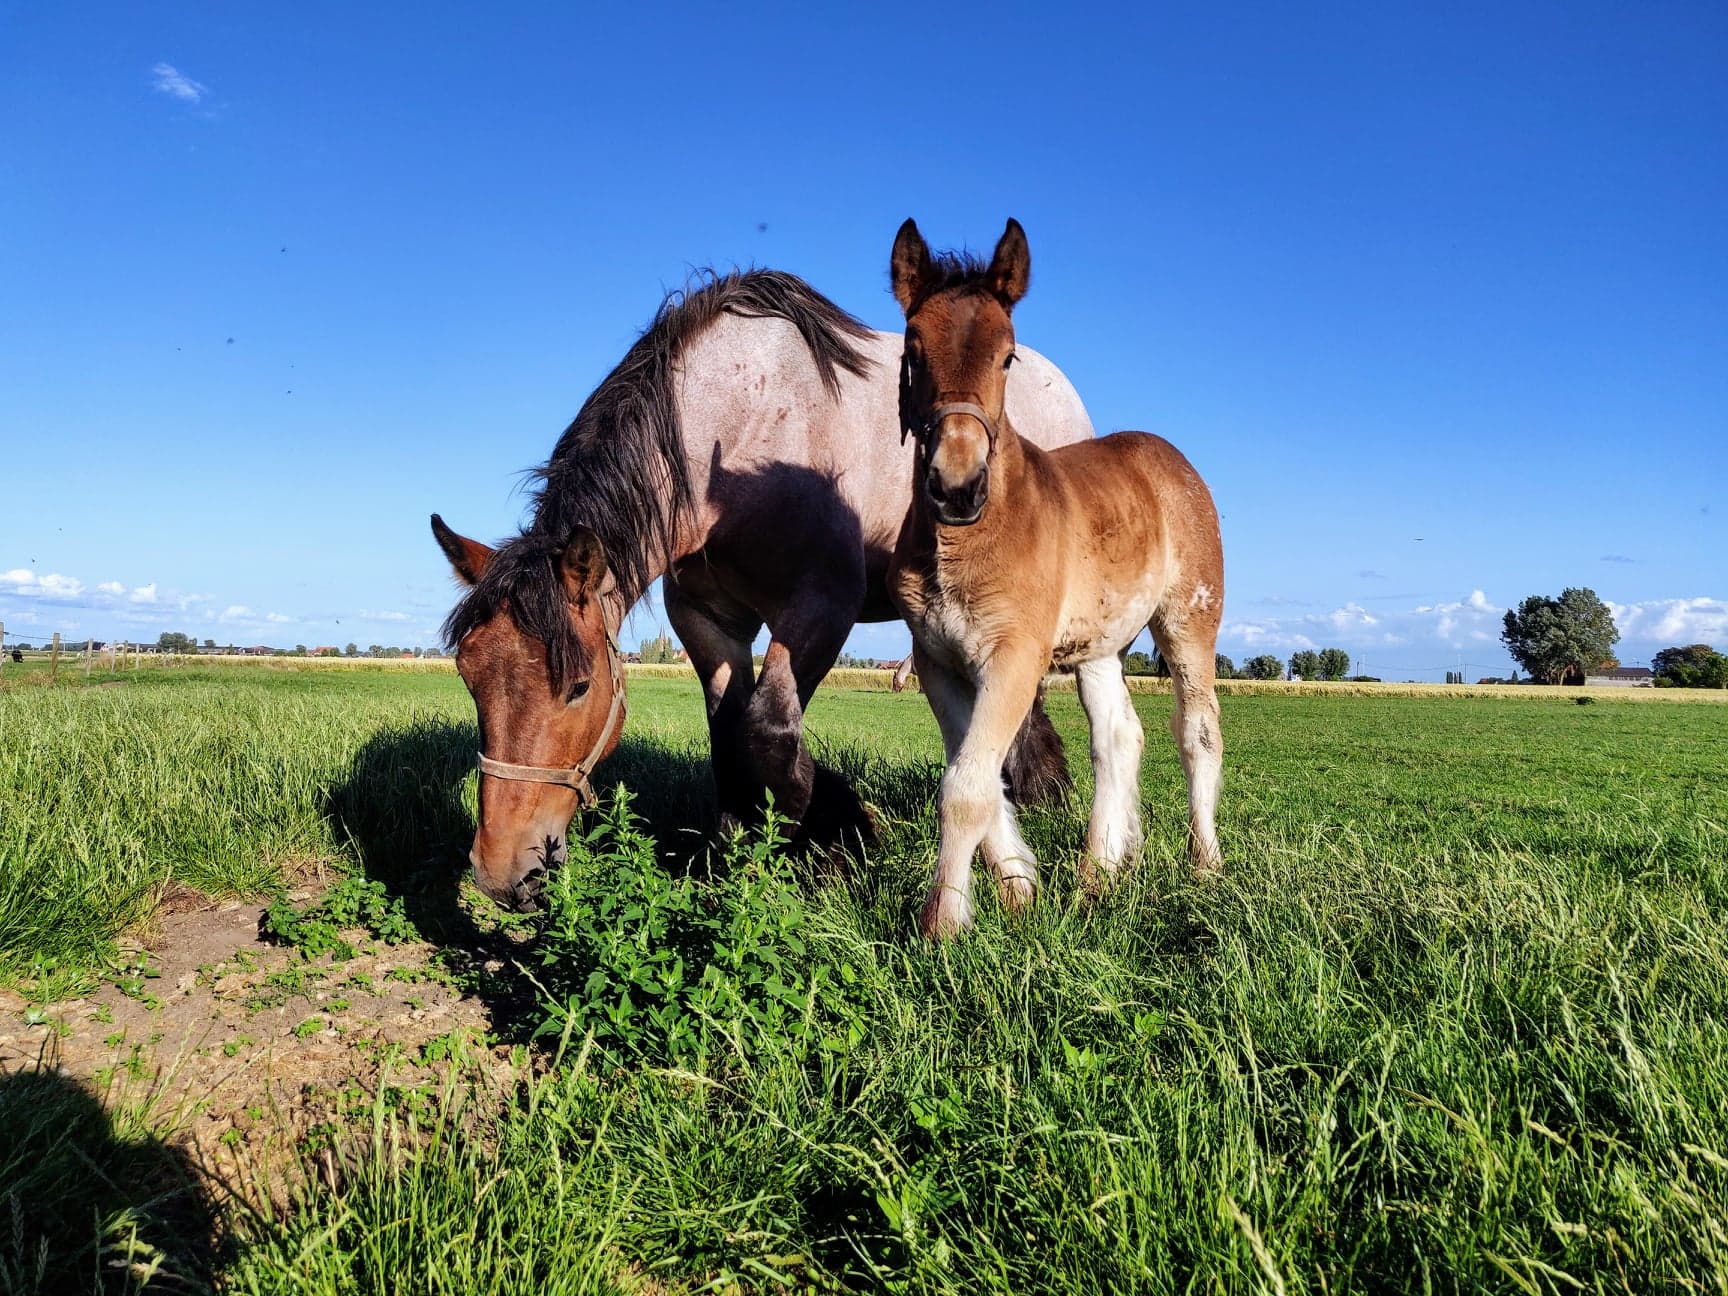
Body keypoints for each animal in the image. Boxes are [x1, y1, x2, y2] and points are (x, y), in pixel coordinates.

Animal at [431, 269, 1095, 910]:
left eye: (578, 687)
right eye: (467, 677)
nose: (501, 872)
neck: (744, 432)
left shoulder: (822, 608)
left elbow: (769, 732)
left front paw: (826, 839)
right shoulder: (708, 620)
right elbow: (730, 734)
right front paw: (740, 849)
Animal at [886, 219, 1226, 939]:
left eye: (1009, 356)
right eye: (912, 348)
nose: (957, 486)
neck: (964, 542)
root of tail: (1171, 458)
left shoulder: (1016, 655)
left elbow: (966, 788)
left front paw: (942, 926)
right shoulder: (937, 661)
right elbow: (977, 778)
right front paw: (1019, 889)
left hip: (1189, 620)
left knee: (1197, 733)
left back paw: (1204, 866)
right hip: (1099, 645)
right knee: (1118, 738)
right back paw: (1100, 874)